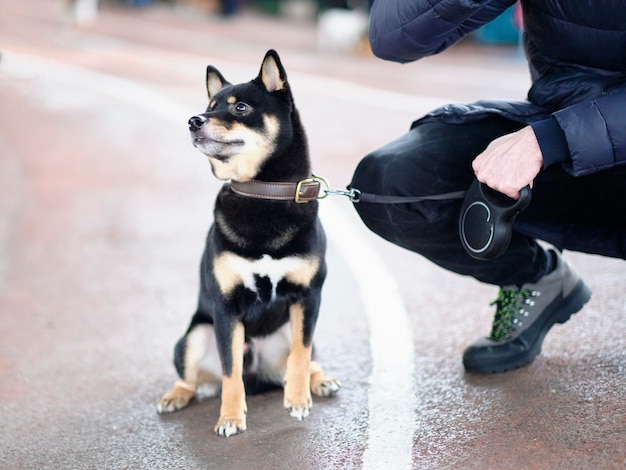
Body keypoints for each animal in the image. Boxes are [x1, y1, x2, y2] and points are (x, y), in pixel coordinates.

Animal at [157, 49, 342, 436]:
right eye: (209, 106)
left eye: (240, 108)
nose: (193, 120)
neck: (262, 193)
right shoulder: (226, 307)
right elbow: (231, 371)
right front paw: (230, 417)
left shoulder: (308, 296)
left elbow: (301, 354)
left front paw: (298, 399)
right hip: (195, 335)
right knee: (193, 379)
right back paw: (175, 396)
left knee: (308, 358)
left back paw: (320, 381)